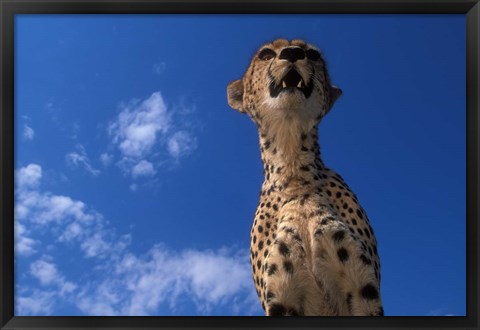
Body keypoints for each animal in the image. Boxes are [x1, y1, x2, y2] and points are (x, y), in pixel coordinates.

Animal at [227, 39, 384, 318]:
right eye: (266, 54)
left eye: (311, 54)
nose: (292, 53)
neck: (295, 175)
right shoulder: (282, 298)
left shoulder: (363, 288)